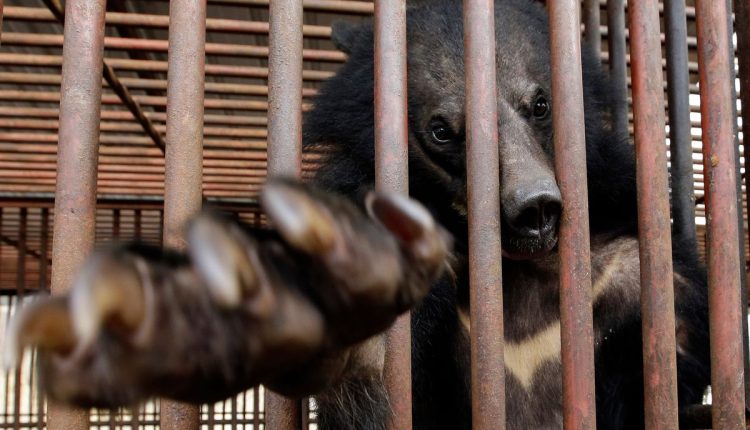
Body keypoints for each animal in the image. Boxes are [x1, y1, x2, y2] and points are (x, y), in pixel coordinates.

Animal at [4, 0, 709, 429]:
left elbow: (676, 344)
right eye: (442, 131)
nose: (534, 210)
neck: (509, 269)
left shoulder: (628, 246)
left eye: (540, 104)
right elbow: (368, 372)